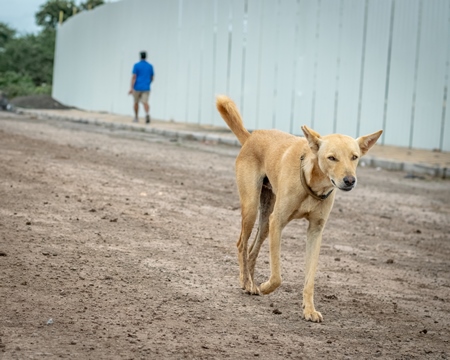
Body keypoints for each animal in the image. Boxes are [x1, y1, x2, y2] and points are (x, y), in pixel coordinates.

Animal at [216, 94, 382, 322]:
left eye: (354, 157)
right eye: (332, 158)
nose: (350, 180)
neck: (314, 185)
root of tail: (251, 136)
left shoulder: (315, 231)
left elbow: (310, 279)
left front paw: (309, 310)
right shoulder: (278, 222)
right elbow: (277, 276)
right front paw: (266, 287)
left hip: (265, 221)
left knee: (251, 251)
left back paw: (251, 282)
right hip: (252, 208)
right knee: (242, 244)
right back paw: (246, 282)